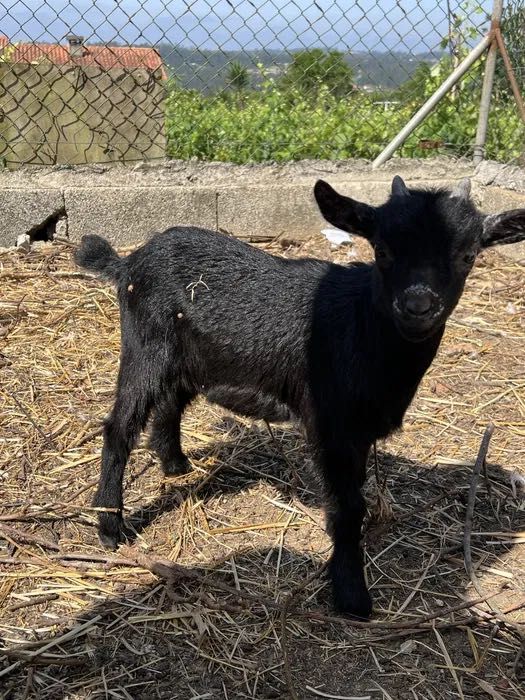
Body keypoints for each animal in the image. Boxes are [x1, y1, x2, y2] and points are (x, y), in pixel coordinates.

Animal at [74, 176, 525, 619]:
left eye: (469, 255)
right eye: (381, 249)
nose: (418, 306)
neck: (363, 327)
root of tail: (128, 263)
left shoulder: (359, 433)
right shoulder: (332, 428)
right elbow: (347, 508)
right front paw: (351, 594)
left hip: (189, 358)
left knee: (169, 403)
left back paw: (175, 465)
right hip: (145, 346)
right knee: (119, 427)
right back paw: (110, 527)